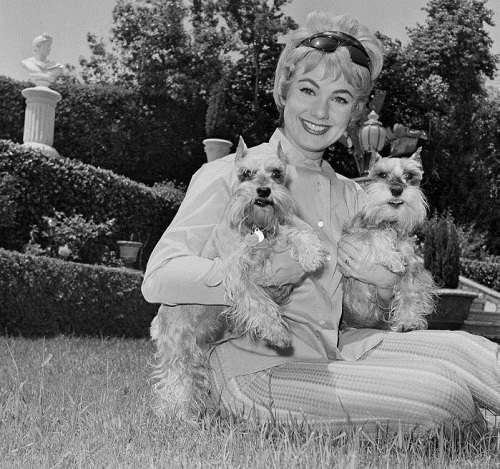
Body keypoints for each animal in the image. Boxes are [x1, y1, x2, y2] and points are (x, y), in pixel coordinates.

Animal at [150, 137, 326, 418]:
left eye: (277, 173)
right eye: (246, 174)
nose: (263, 191)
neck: (255, 227)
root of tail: (159, 320)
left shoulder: (276, 236)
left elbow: (296, 233)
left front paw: (311, 255)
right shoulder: (237, 273)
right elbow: (260, 303)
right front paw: (277, 333)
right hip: (180, 351)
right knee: (174, 385)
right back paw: (178, 416)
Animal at [342, 148, 436, 330]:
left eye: (409, 175)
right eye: (382, 174)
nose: (397, 189)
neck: (391, 221)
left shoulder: (411, 266)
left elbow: (409, 291)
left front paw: (408, 321)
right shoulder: (353, 236)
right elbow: (375, 235)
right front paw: (393, 259)